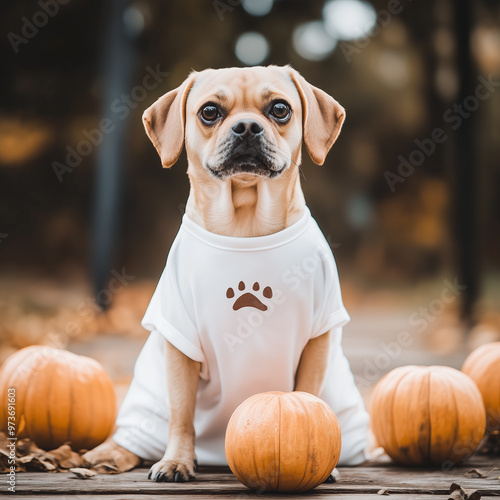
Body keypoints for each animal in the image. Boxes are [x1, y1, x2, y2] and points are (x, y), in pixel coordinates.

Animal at [84, 65, 370, 480]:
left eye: (280, 109)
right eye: (209, 112)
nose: (247, 127)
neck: (245, 225)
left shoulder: (318, 337)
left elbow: (307, 394)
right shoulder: (180, 344)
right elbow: (182, 414)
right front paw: (176, 460)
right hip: (146, 404)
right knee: (135, 436)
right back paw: (107, 454)